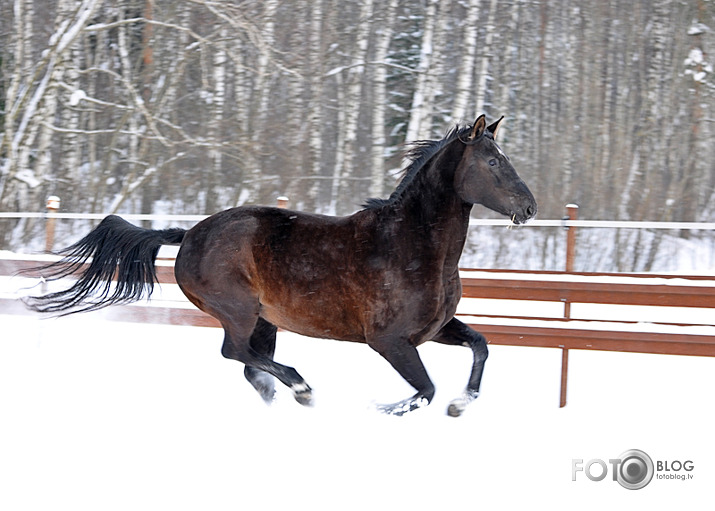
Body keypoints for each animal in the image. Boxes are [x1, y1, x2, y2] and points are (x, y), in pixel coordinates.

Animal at [25, 115, 536, 416]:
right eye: (493, 161)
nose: (529, 207)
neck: (413, 247)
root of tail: (188, 234)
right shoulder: (389, 341)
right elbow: (424, 390)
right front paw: (386, 409)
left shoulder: (435, 329)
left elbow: (480, 346)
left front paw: (461, 404)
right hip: (238, 311)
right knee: (236, 354)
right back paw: (302, 388)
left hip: (265, 321)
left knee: (251, 366)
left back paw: (285, 398)